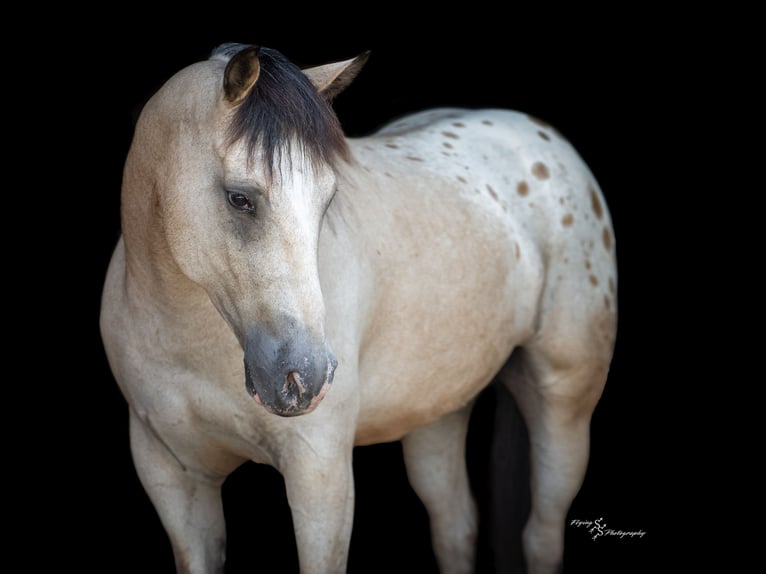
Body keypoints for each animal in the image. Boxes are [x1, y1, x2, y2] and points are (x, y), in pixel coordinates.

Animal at [100, 42, 617, 574]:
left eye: (327, 199)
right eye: (239, 198)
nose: (305, 377)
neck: (188, 341)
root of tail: (537, 138)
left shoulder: (320, 476)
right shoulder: (174, 480)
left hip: (564, 408)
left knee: (541, 533)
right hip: (437, 414)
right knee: (455, 525)